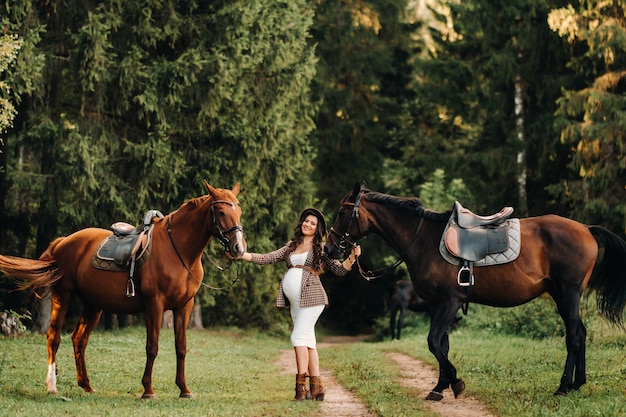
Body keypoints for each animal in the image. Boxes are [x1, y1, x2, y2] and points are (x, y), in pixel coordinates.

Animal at [0, 180, 246, 398]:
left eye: (240, 211)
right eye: (221, 212)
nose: (238, 248)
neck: (178, 251)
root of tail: (63, 241)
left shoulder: (184, 306)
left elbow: (181, 347)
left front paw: (184, 389)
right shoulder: (155, 304)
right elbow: (152, 347)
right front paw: (148, 391)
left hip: (93, 305)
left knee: (79, 339)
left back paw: (86, 385)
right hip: (63, 296)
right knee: (54, 337)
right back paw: (52, 386)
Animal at [326, 182, 624, 400]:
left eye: (341, 213)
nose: (329, 248)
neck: (424, 240)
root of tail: (586, 228)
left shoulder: (450, 301)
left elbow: (433, 342)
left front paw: (456, 382)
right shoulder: (436, 304)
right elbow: (442, 344)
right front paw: (439, 387)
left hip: (567, 294)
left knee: (574, 337)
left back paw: (563, 387)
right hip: (565, 297)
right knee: (581, 333)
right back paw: (577, 384)